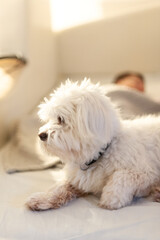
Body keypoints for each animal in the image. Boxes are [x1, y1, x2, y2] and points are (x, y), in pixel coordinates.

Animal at [26, 79, 160, 210]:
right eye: (49, 119)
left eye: (60, 119)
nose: (41, 135)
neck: (98, 155)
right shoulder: (78, 179)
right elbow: (60, 187)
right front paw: (43, 198)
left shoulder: (146, 173)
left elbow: (121, 176)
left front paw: (111, 196)